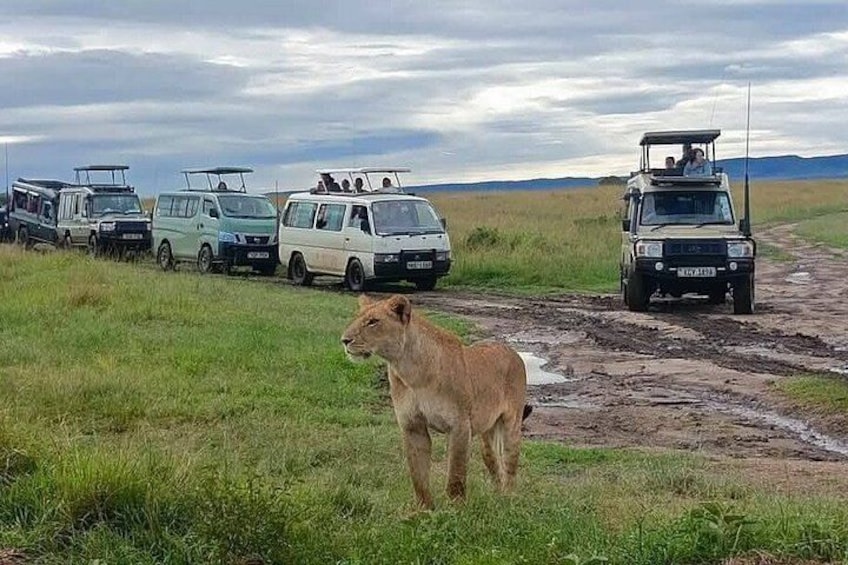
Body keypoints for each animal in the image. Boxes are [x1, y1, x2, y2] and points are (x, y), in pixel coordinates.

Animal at [341, 294, 531, 509]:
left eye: (373, 321)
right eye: (357, 318)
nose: (344, 340)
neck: (410, 370)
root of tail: (511, 350)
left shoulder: (460, 426)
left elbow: (456, 474)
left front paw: (456, 509)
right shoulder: (412, 426)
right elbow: (419, 475)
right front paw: (424, 510)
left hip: (511, 426)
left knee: (509, 466)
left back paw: (509, 499)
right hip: (487, 439)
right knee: (495, 464)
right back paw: (497, 499)